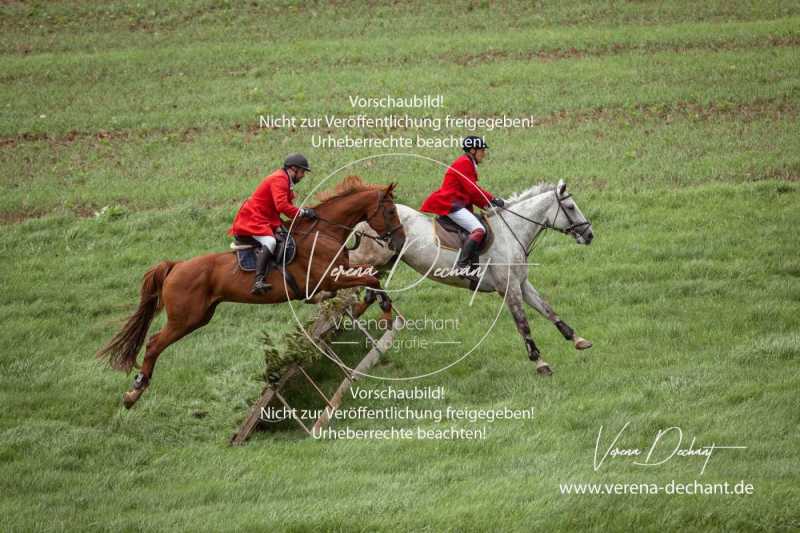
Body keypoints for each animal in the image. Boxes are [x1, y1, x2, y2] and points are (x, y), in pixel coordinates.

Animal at [96, 178, 404, 408]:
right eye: (390, 212)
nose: (399, 241)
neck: (324, 232)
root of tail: (176, 266)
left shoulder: (339, 274)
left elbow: (370, 276)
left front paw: (372, 306)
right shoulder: (326, 278)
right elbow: (371, 276)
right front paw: (386, 314)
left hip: (199, 316)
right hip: (186, 318)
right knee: (153, 344)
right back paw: (134, 392)